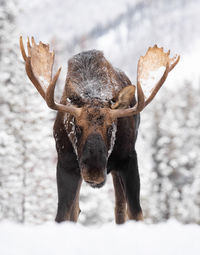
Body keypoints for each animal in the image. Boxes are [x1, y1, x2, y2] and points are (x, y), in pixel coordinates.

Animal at [19, 36, 180, 224]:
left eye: (111, 128)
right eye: (77, 127)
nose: (94, 172)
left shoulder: (129, 159)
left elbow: (136, 213)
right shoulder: (65, 165)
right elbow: (62, 216)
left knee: (120, 208)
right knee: (76, 210)